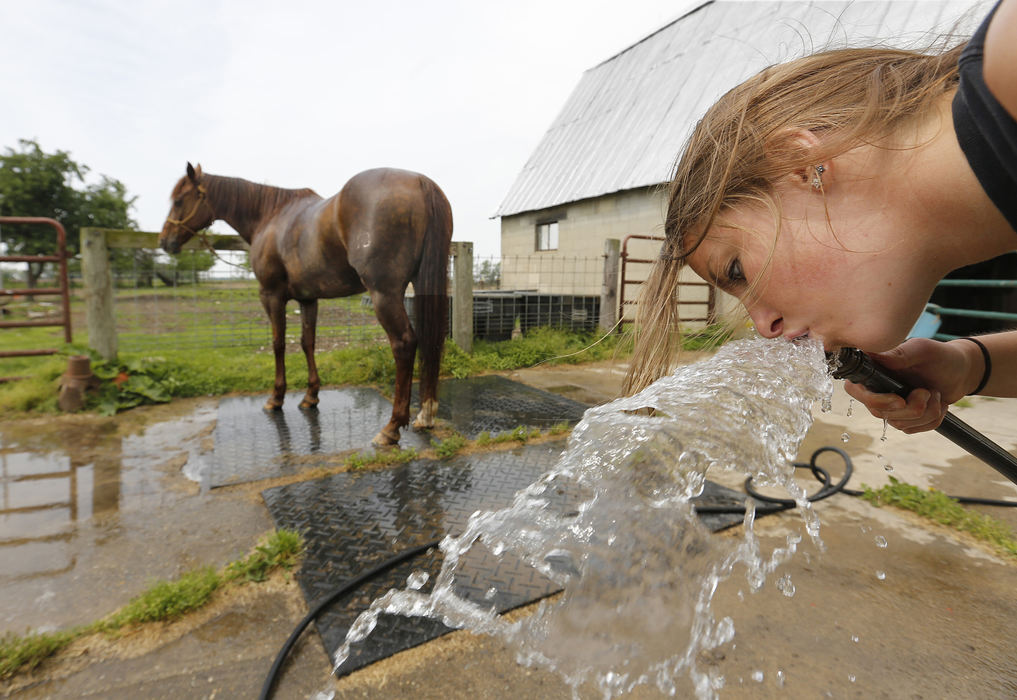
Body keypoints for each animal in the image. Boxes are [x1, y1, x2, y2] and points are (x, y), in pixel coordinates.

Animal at [156, 163, 451, 445]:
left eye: (180, 200)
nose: (164, 241)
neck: (270, 216)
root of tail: (420, 182)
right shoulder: (308, 299)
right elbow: (307, 342)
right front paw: (311, 396)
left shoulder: (271, 296)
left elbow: (278, 344)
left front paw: (276, 398)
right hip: (422, 284)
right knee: (430, 342)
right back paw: (425, 415)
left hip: (384, 294)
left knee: (404, 344)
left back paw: (391, 428)